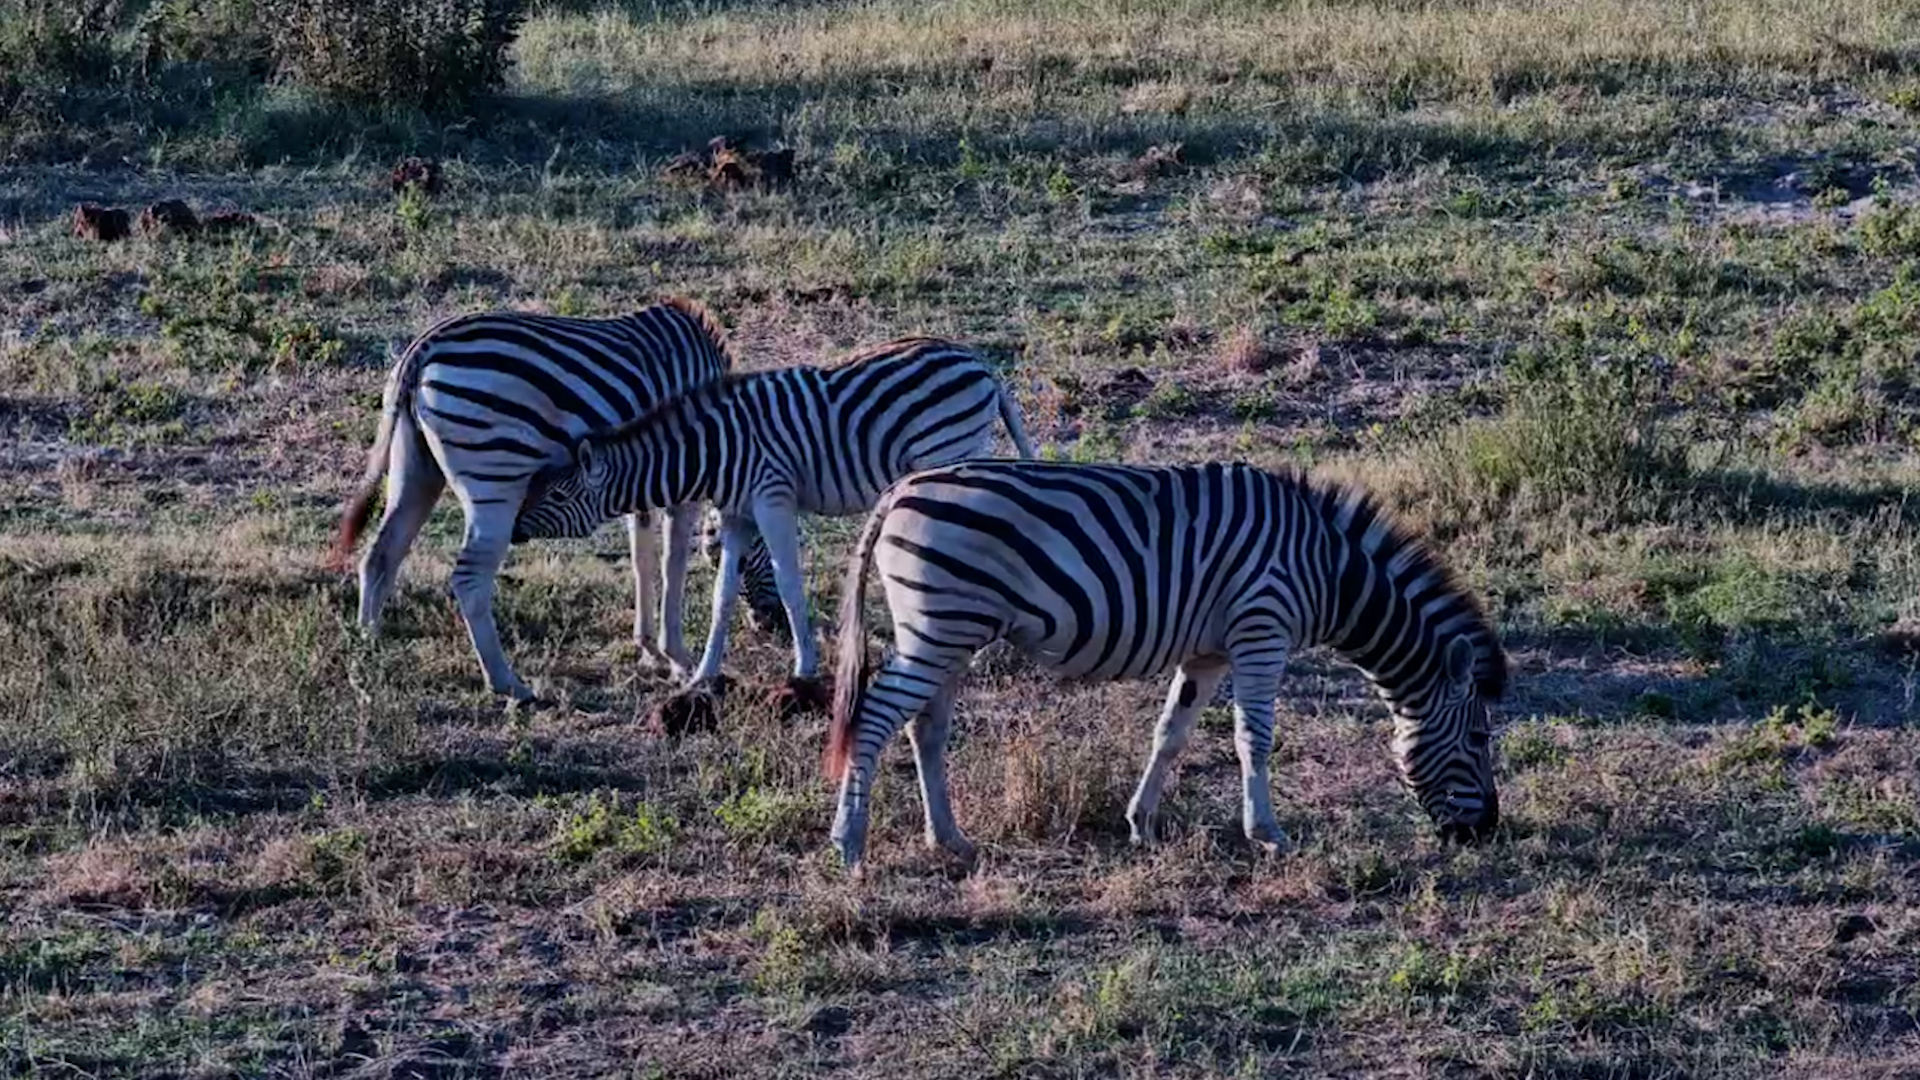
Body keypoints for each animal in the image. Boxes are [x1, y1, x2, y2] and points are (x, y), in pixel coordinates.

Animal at [328, 298, 782, 702]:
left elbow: (642, 559)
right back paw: (509, 684)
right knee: (469, 579)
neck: (718, 431)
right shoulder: (678, 477)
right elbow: (673, 565)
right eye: (753, 555)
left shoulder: (639, 476)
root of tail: (423, 348)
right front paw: (678, 659)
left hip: (416, 468)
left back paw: (369, 650)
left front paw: (649, 649)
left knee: (381, 555)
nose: (771, 625)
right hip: (496, 479)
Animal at [510, 336, 1037, 714]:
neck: (711, 452)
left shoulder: (771, 497)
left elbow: (789, 582)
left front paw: (804, 669)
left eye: (557, 495)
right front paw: (703, 674)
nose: (513, 529)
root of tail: (977, 363)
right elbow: (722, 595)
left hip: (949, 452)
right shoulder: (738, 513)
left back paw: (981, 656)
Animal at [825, 459, 1507, 869]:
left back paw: (950, 839)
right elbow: (1253, 738)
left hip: (947, 631)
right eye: (1478, 738)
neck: (1330, 571)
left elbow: (1171, 734)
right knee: (877, 715)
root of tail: (902, 488)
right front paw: (1267, 833)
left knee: (925, 726)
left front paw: (1141, 822)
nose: (1487, 832)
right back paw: (850, 843)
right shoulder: (1262, 628)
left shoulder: (1208, 651)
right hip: (941, 624)